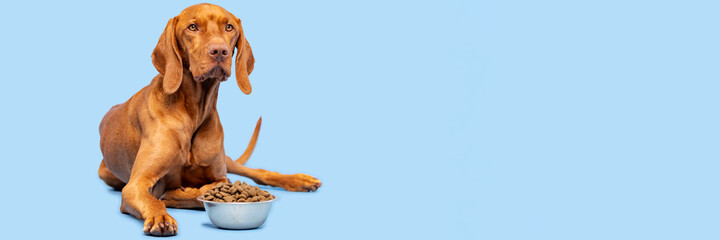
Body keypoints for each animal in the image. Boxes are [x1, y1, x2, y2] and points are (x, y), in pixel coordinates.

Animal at [97, 3, 322, 236]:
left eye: (229, 27)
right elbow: (157, 198)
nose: (220, 51)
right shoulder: (136, 185)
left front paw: (182, 192)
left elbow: (213, 186)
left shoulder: (219, 175)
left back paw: (300, 180)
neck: (193, 112)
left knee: (256, 172)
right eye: (192, 27)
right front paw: (162, 215)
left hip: (227, 160)